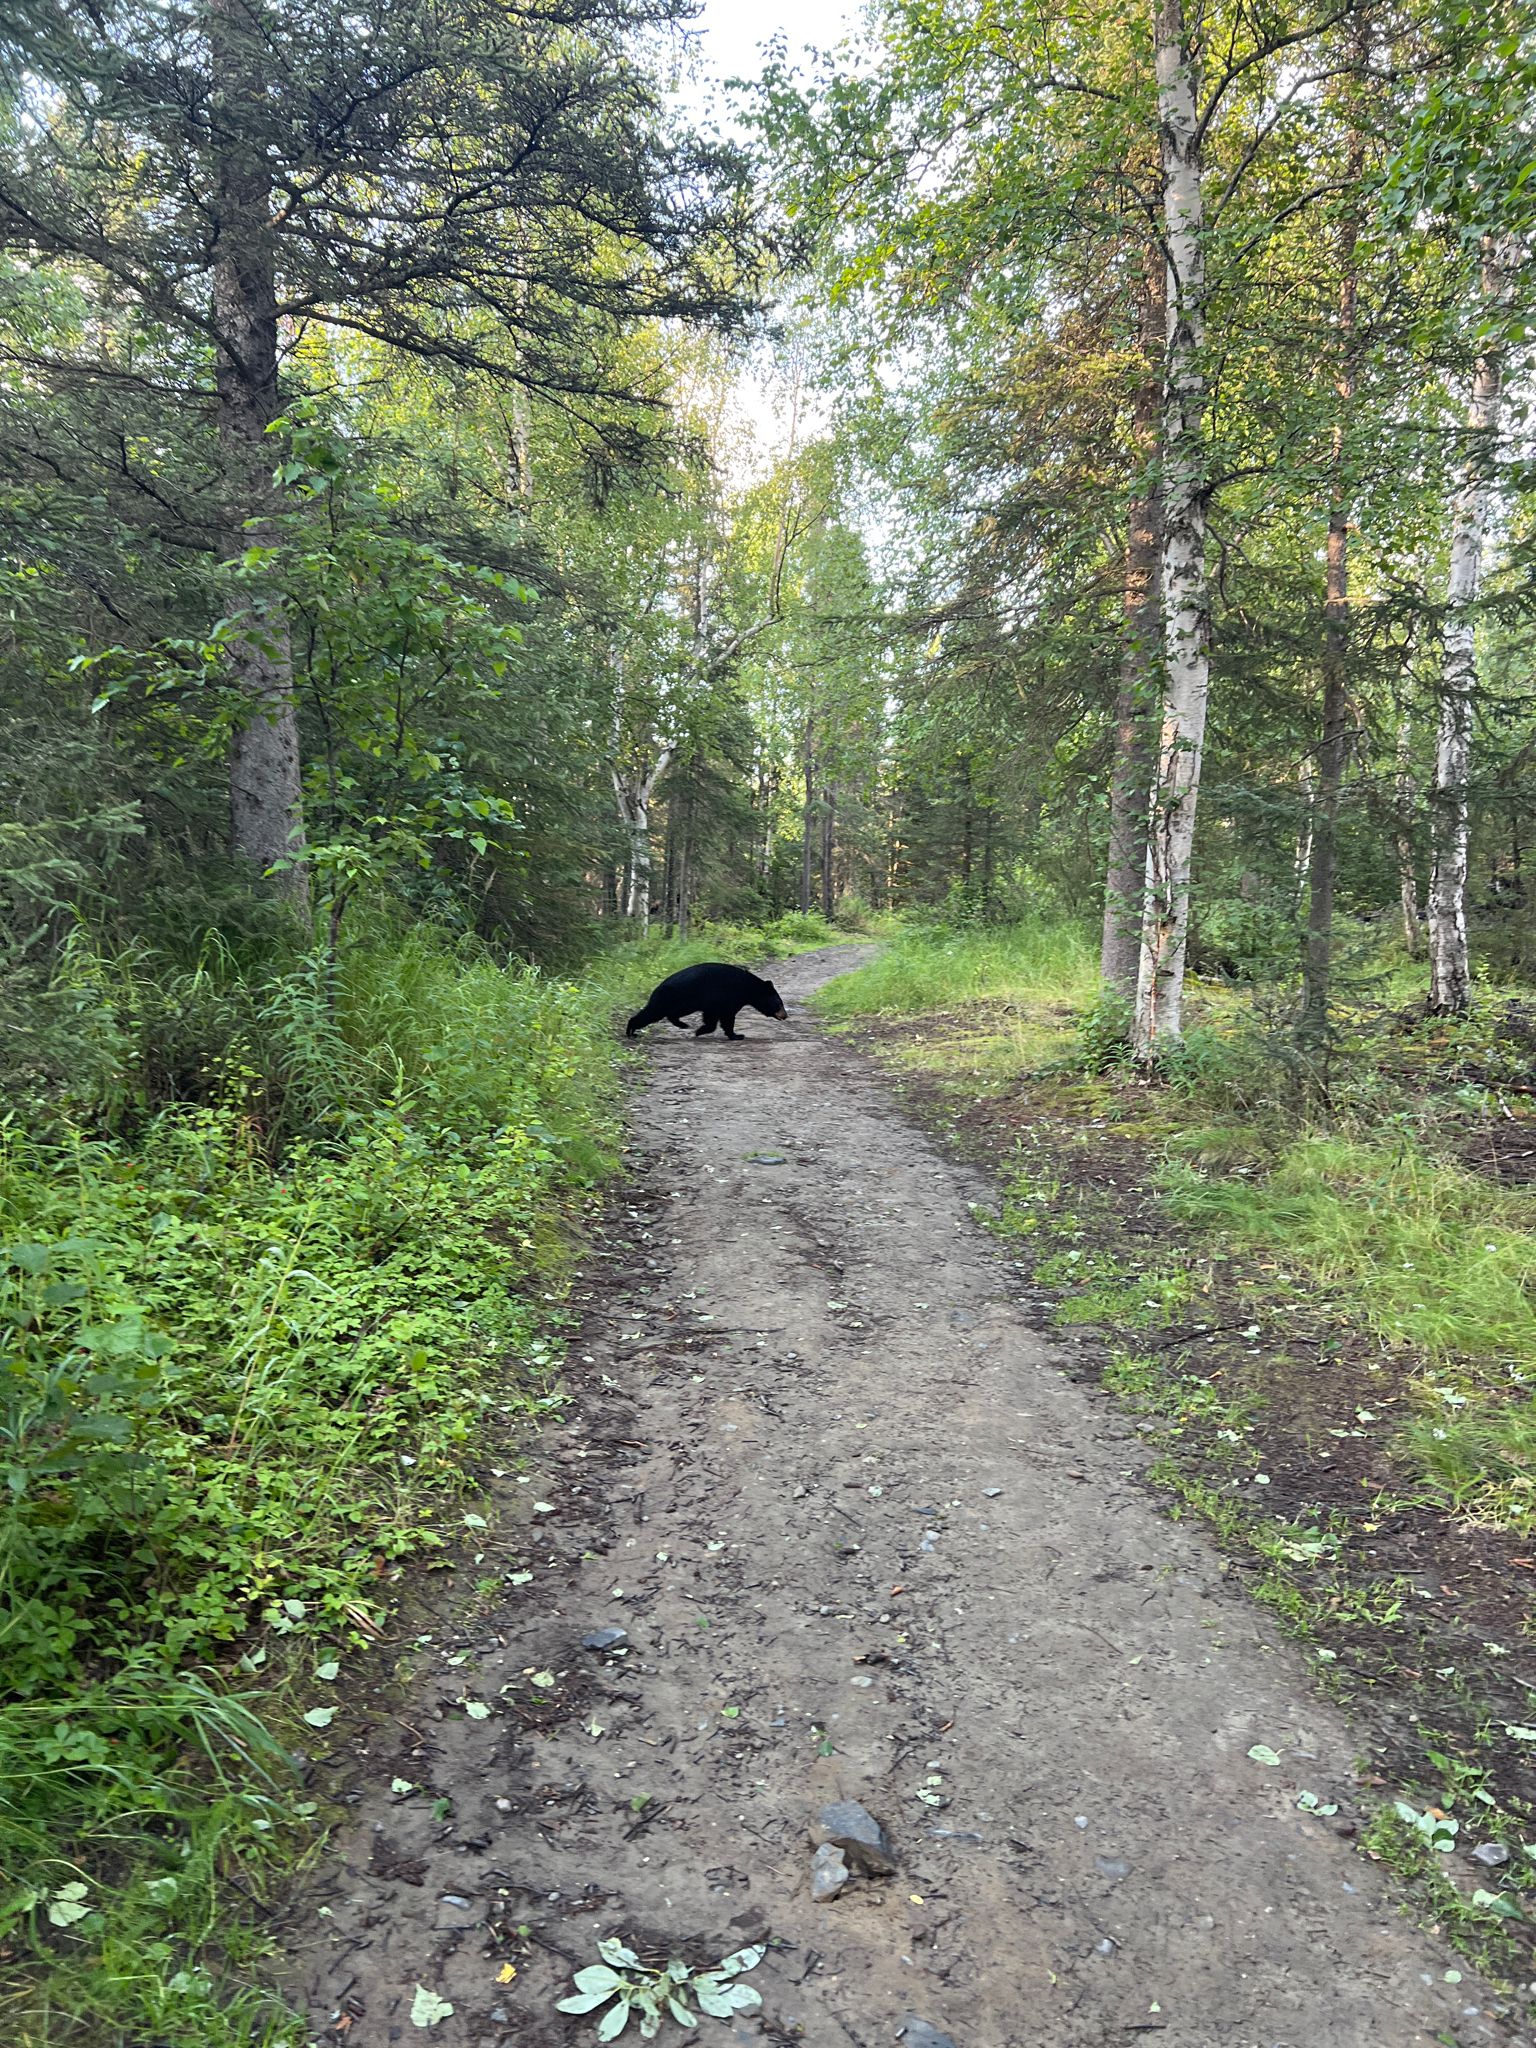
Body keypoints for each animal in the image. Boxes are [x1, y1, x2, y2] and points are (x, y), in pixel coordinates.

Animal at [626, 962, 789, 1042]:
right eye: (779, 1003)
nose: (785, 1015)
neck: (747, 989)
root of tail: (657, 987)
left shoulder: (713, 1003)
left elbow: (712, 1018)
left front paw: (700, 1030)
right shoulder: (727, 997)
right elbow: (727, 1018)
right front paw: (737, 1035)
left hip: (682, 1003)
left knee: (672, 1014)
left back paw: (682, 1024)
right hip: (671, 999)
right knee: (652, 1012)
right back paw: (631, 1031)